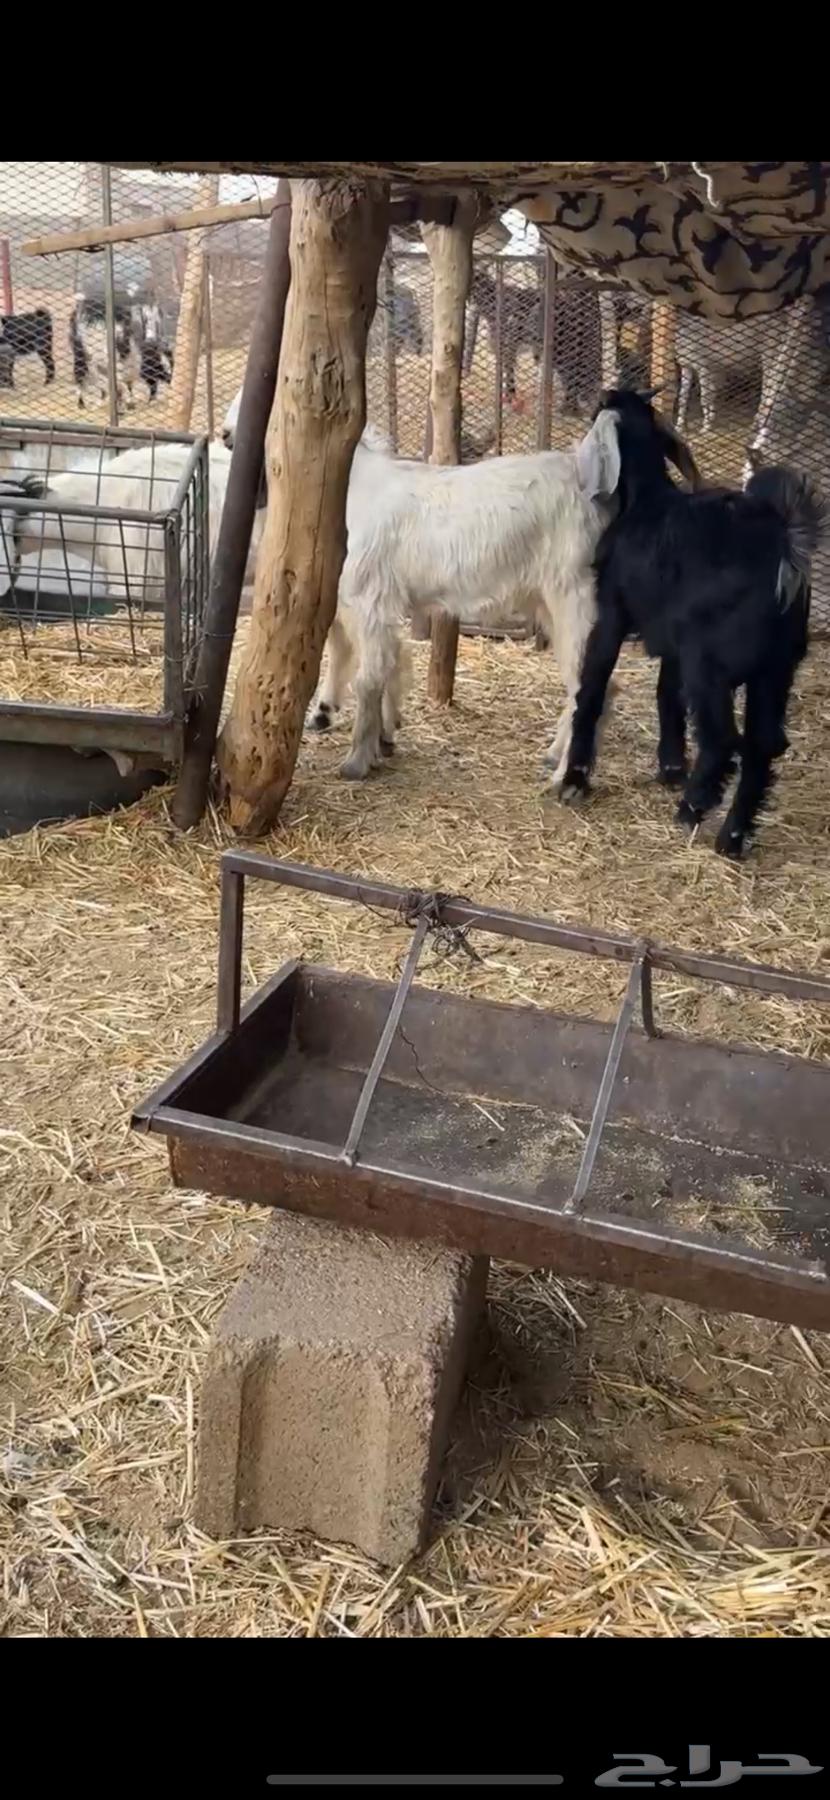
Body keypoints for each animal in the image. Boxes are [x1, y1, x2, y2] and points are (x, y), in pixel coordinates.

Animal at [315, 412, 622, 781]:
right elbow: (386, 662)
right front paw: (383, 741)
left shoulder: (370, 599)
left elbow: (368, 677)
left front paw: (356, 762)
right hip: (551, 603)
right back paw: (554, 756)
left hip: (576, 595)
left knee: (595, 685)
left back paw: (565, 777)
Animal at [557, 388, 826, 857]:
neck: (647, 498)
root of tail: (783, 548)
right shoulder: (673, 639)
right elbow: (667, 694)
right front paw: (670, 765)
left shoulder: (611, 614)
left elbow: (592, 685)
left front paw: (576, 778)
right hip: (775, 669)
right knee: (763, 744)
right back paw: (732, 837)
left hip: (710, 663)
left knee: (723, 740)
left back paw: (694, 807)